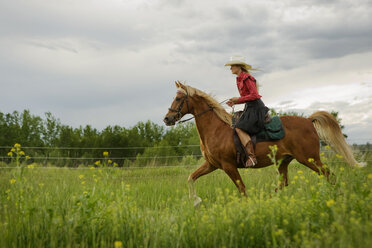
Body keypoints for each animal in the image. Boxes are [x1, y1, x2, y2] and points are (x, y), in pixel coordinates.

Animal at [163, 81, 364, 205]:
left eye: (179, 98)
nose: (167, 118)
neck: (216, 128)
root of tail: (308, 121)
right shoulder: (212, 164)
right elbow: (191, 178)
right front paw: (196, 202)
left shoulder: (228, 166)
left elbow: (242, 189)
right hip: (285, 160)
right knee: (283, 183)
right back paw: (268, 199)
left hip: (309, 159)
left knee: (330, 175)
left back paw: (337, 196)